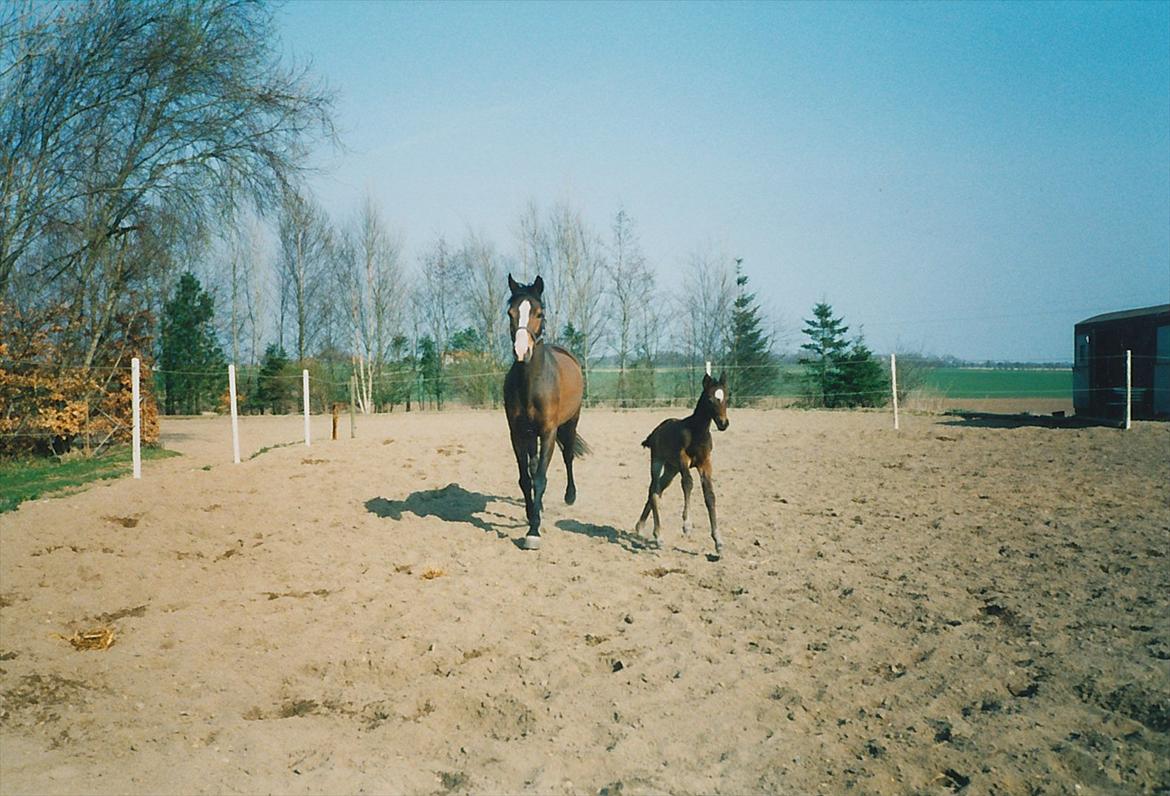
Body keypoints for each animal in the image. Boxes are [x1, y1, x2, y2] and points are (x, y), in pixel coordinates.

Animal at [505, 273, 589, 547]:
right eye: (510, 313)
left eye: (539, 313)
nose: (522, 351)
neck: (531, 383)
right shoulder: (518, 434)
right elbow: (526, 478)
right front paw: (532, 513)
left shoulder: (549, 432)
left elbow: (541, 477)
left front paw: (533, 531)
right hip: (531, 435)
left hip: (570, 423)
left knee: (568, 456)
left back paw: (570, 496)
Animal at [636, 372, 725, 552]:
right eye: (710, 399)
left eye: (726, 397)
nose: (723, 423)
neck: (697, 432)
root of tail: (655, 432)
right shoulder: (683, 459)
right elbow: (688, 483)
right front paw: (687, 525)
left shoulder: (705, 463)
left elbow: (710, 495)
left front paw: (718, 541)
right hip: (658, 462)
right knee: (653, 491)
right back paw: (658, 536)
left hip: (671, 469)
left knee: (658, 490)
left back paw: (641, 528)